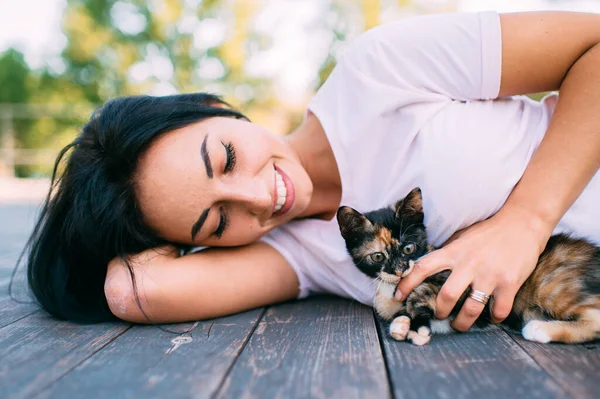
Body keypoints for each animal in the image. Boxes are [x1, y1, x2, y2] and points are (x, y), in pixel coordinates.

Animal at [338, 189, 600, 346]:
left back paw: (539, 329)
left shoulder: (454, 284)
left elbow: (422, 294)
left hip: (553, 285)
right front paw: (402, 322)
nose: (400, 269)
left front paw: (416, 324)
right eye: (378, 256)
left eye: (408, 248)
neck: (393, 289)